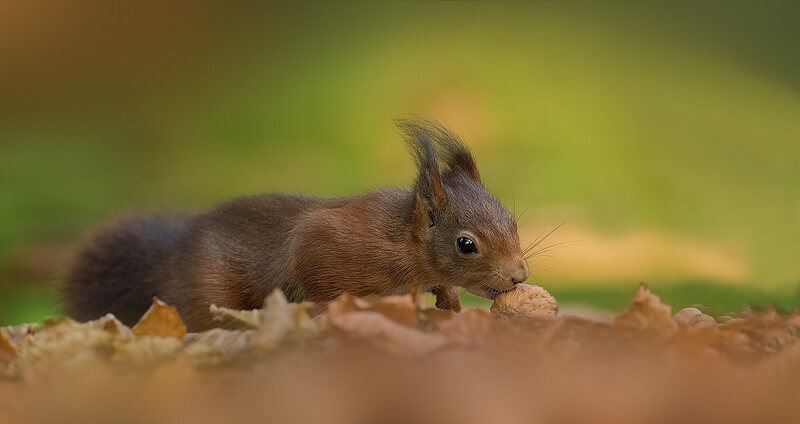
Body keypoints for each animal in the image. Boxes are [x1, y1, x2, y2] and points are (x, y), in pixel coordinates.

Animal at [62, 118, 530, 331]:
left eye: (513, 223)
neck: (401, 239)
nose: (519, 276)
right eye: (466, 244)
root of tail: (169, 263)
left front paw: (448, 300)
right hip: (206, 293)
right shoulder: (324, 246)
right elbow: (314, 278)